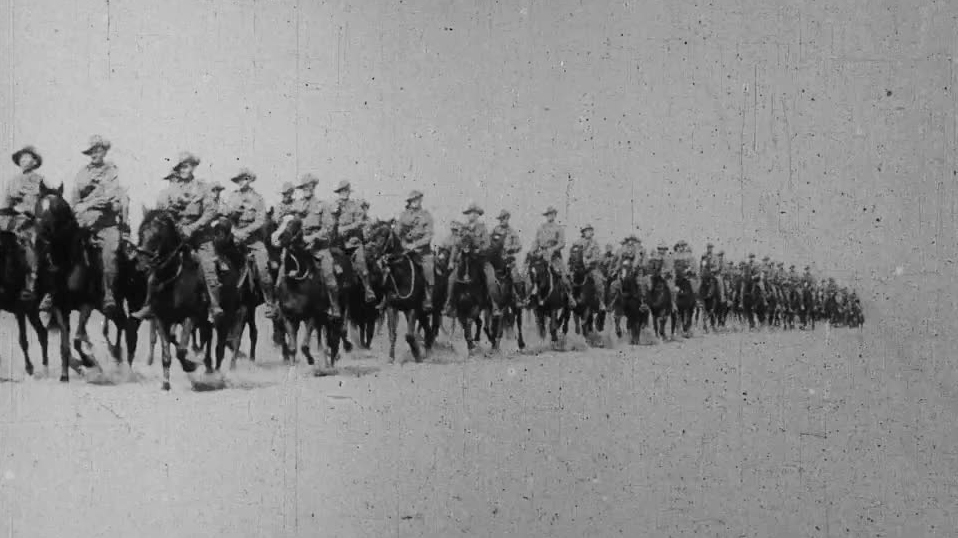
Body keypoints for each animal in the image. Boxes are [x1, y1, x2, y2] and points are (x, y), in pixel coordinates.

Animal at [0, 215, 48, 376]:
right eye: (20, 244)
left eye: (43, 245)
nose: (28, 292)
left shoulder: (21, 309)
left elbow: (23, 340)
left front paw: (29, 367)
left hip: (31, 309)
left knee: (42, 333)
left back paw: (44, 367)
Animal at [135, 207, 212, 389]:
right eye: (140, 233)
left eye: (156, 236)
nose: (142, 265)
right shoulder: (162, 319)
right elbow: (167, 352)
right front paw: (165, 383)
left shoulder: (190, 317)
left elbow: (182, 350)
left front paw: (190, 365)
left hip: (204, 319)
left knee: (208, 336)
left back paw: (207, 366)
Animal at [270, 214, 342, 370]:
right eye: (279, 222)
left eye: (294, 224)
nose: (275, 238)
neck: (295, 283)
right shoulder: (289, 317)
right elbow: (292, 347)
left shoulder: (311, 316)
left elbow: (304, 345)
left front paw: (311, 360)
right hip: (322, 318)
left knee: (335, 336)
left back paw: (331, 361)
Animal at [365, 219, 434, 362]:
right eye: (371, 233)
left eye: (383, 234)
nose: (368, 250)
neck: (402, 275)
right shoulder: (392, 307)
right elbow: (393, 333)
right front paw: (391, 357)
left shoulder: (412, 308)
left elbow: (409, 335)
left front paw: (417, 355)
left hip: (424, 310)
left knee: (428, 329)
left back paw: (428, 351)